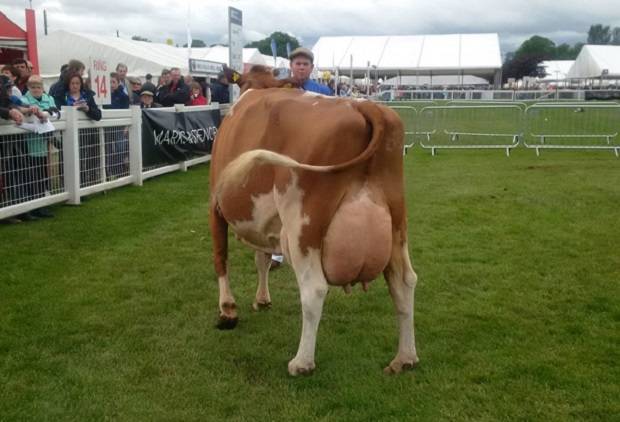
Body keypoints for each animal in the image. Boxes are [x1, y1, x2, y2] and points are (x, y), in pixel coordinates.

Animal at [211, 66, 418, 376]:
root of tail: (364, 105)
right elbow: (262, 259)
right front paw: (262, 299)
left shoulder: (214, 204)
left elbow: (221, 257)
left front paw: (227, 310)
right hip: (396, 223)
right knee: (404, 282)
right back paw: (405, 357)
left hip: (303, 228)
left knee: (314, 289)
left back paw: (302, 363)